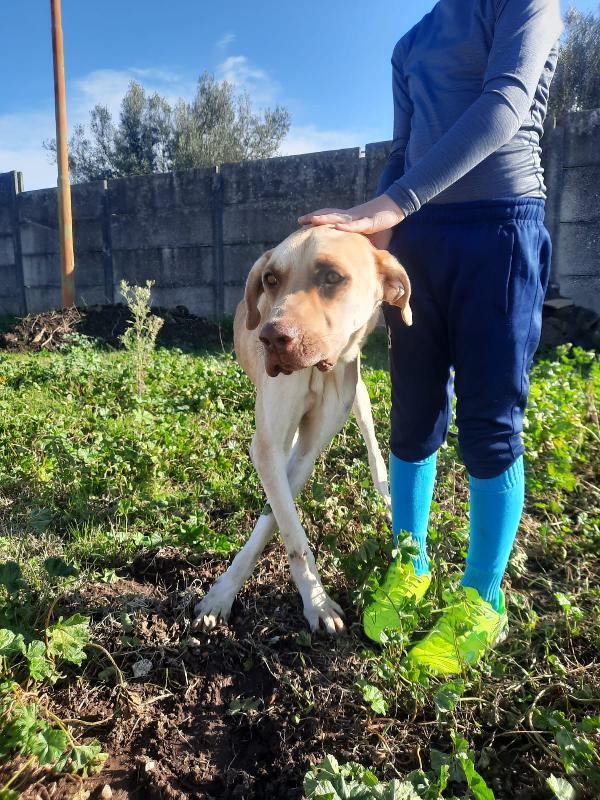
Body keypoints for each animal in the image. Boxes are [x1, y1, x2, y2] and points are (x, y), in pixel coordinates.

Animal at [195, 227, 410, 636]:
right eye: (270, 279)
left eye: (332, 277)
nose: (271, 338)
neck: (316, 372)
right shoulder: (269, 447)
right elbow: (288, 528)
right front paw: (224, 595)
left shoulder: (305, 453)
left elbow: (276, 519)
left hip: (360, 400)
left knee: (374, 450)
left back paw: (387, 500)